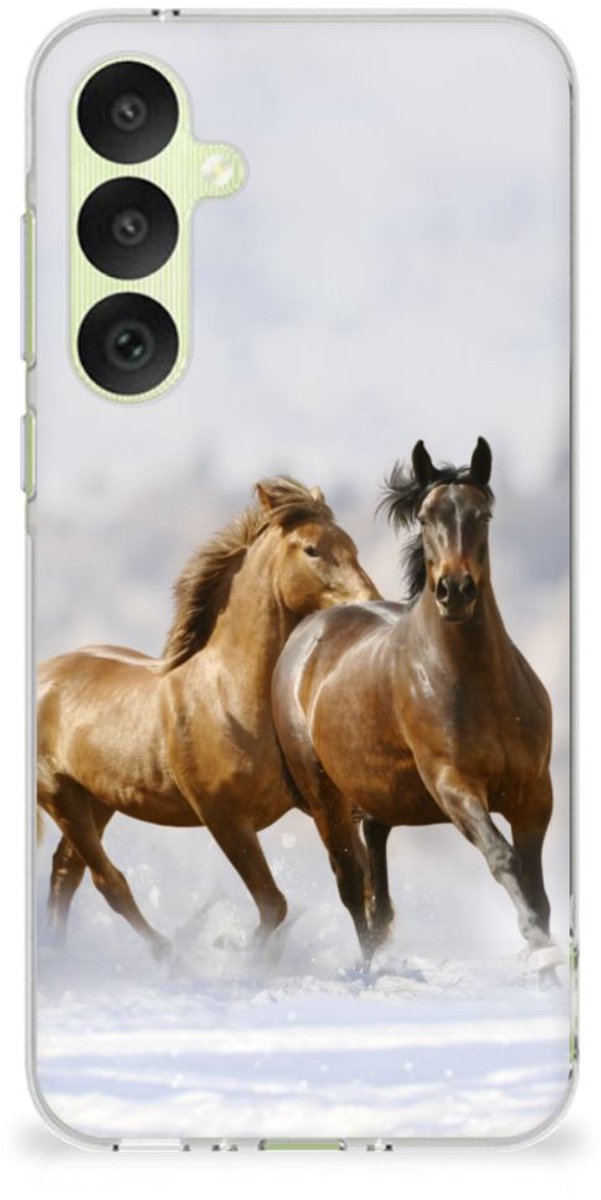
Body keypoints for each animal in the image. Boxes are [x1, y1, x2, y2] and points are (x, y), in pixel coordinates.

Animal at [37, 476, 379, 958]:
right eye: (312, 549)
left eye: (351, 545)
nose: (371, 603)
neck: (230, 697)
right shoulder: (224, 817)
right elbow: (273, 904)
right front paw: (241, 956)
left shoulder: (323, 805)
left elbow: (357, 885)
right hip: (59, 795)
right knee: (109, 882)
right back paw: (167, 955)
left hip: (97, 800)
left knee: (66, 873)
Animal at [272, 440, 561, 978]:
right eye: (426, 518)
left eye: (483, 514)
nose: (455, 590)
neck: (478, 684)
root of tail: (307, 633)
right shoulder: (454, 785)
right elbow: (503, 859)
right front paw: (536, 946)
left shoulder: (534, 794)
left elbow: (536, 888)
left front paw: (548, 965)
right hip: (325, 799)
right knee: (352, 886)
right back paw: (370, 971)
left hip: (377, 797)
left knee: (377, 887)